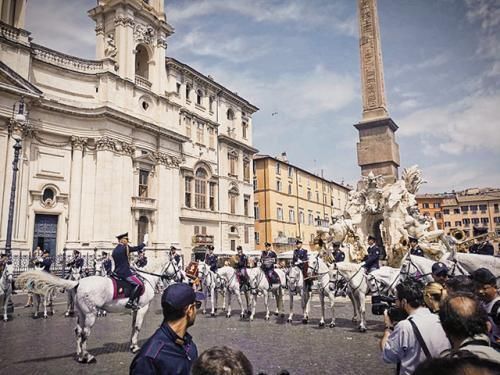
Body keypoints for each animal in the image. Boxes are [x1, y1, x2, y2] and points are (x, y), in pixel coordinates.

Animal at [17, 258, 170, 364]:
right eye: (175, 262)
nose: (176, 277)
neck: (147, 279)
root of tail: (78, 282)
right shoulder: (143, 307)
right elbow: (138, 327)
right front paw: (135, 347)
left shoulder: (136, 309)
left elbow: (133, 326)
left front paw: (132, 344)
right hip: (90, 314)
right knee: (85, 333)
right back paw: (87, 357)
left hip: (81, 313)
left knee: (78, 331)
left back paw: (79, 355)